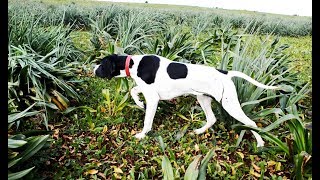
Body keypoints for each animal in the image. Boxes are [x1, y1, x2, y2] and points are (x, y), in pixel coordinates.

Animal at [92, 54, 278, 147]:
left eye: (101, 64)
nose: (93, 70)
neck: (133, 63)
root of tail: (225, 73)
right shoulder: (147, 90)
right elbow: (133, 90)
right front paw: (138, 102)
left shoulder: (153, 98)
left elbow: (147, 122)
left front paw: (142, 135)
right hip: (203, 98)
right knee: (212, 119)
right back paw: (199, 132)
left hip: (229, 104)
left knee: (251, 123)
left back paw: (260, 142)